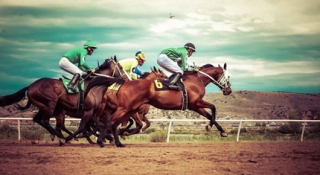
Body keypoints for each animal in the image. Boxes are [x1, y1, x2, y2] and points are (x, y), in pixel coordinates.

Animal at [85, 62, 231, 147]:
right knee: (109, 122)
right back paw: (101, 141)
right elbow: (213, 107)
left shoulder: (194, 106)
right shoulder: (196, 102)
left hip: (130, 109)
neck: (197, 79)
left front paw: (219, 130)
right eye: (228, 77)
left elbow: (210, 115)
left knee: (115, 124)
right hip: (124, 108)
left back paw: (118, 141)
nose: (228, 90)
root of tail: (124, 82)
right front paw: (212, 128)